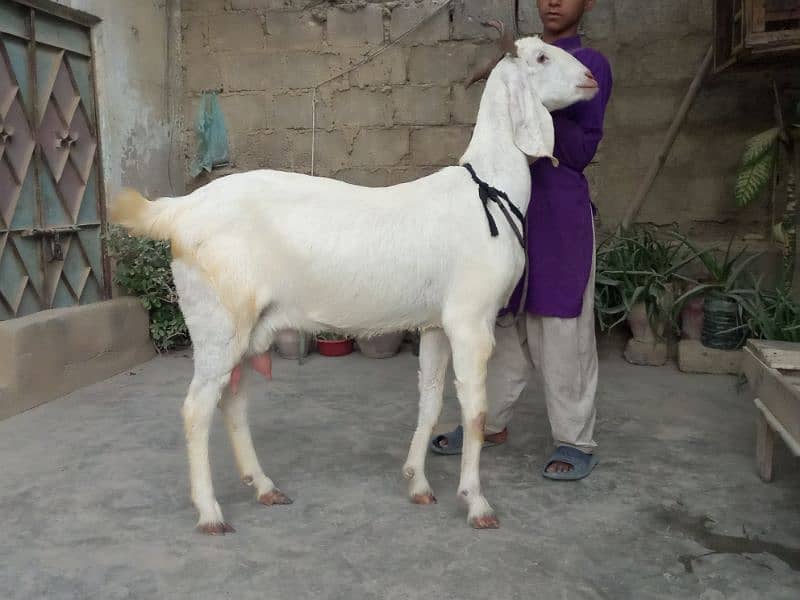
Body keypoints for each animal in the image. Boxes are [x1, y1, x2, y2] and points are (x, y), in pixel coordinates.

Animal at [112, 28, 600, 532]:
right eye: (541, 57)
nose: (591, 78)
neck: (488, 189)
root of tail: (177, 211)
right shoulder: (470, 321)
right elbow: (476, 413)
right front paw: (476, 502)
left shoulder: (436, 323)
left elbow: (429, 401)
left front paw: (418, 483)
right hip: (218, 321)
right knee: (196, 408)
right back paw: (210, 512)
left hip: (246, 329)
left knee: (232, 400)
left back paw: (264, 487)